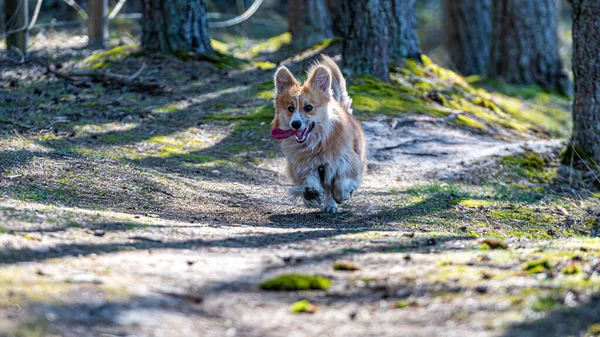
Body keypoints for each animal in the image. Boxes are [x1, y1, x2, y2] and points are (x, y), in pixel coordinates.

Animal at [270, 55, 366, 213]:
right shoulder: (303, 166)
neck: (317, 143)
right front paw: (311, 193)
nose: (295, 124)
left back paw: (332, 204)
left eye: (308, 107)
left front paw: (342, 194)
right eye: (290, 108)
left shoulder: (348, 162)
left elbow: (341, 183)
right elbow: (309, 179)